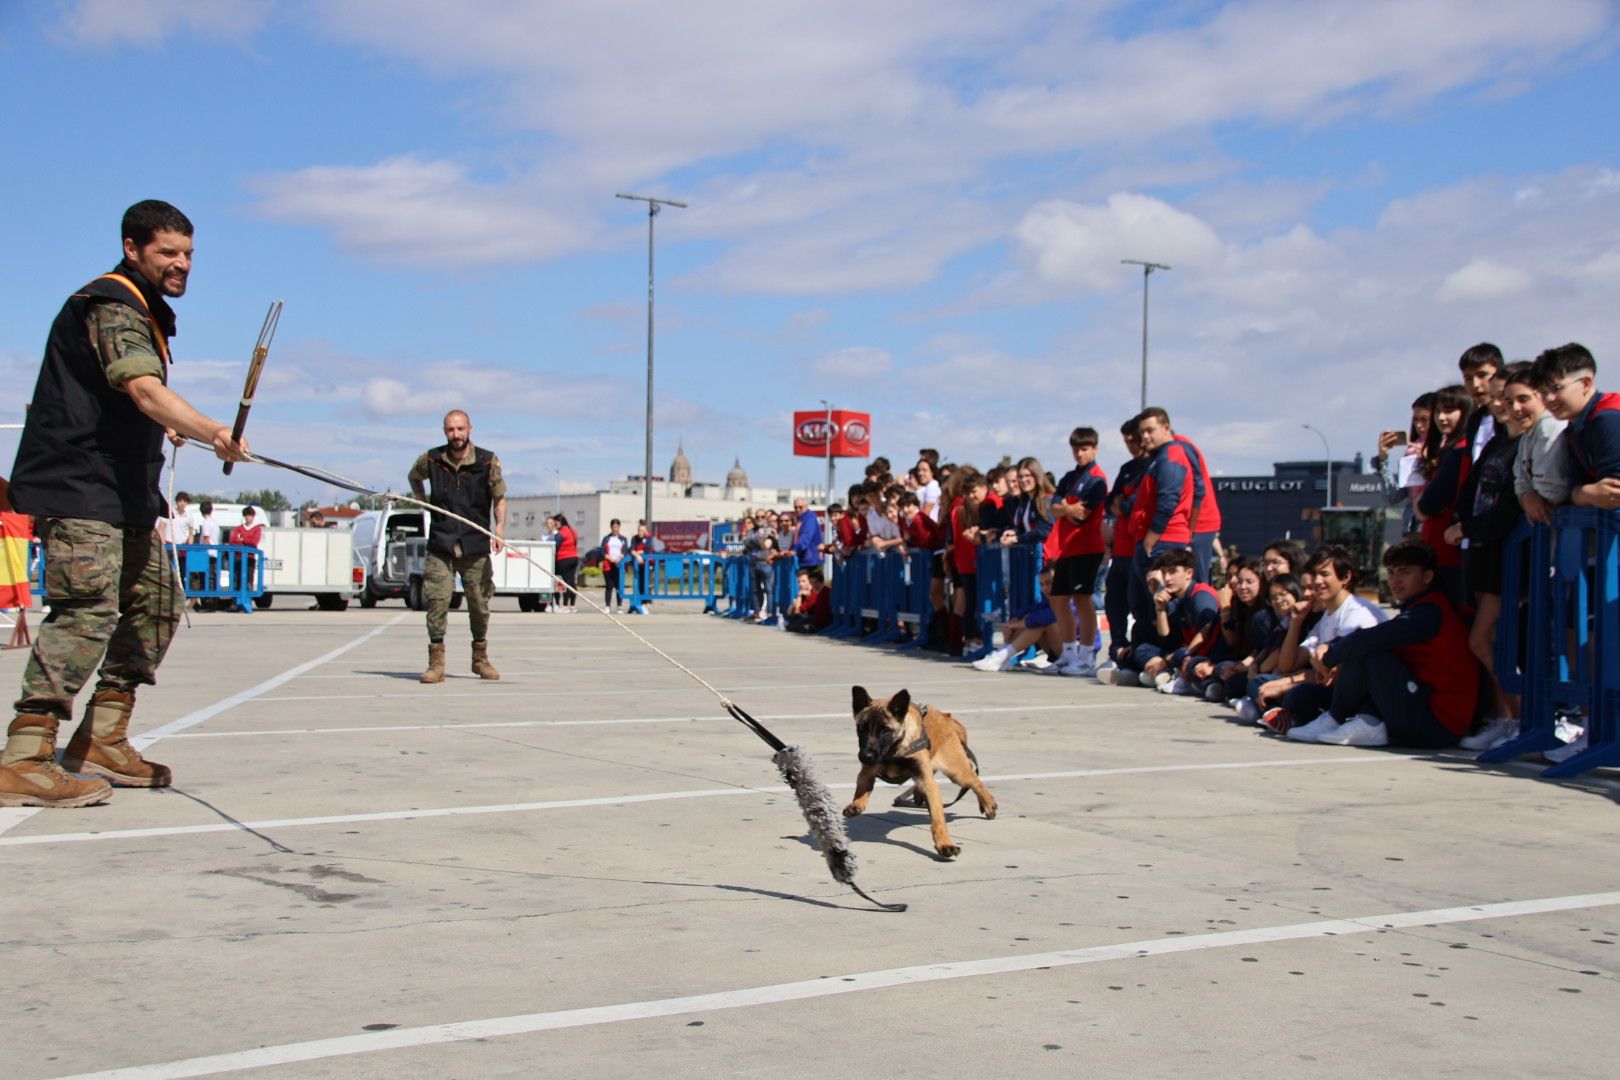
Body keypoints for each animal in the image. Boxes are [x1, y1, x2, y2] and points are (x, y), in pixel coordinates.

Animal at [842, 689, 991, 854]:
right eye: (862, 728)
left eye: (885, 730)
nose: (865, 756)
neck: (895, 751)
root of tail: (947, 718)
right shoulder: (867, 773)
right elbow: (861, 790)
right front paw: (856, 805)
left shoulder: (929, 783)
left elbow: (938, 817)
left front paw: (944, 843)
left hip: (957, 772)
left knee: (975, 782)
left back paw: (989, 805)